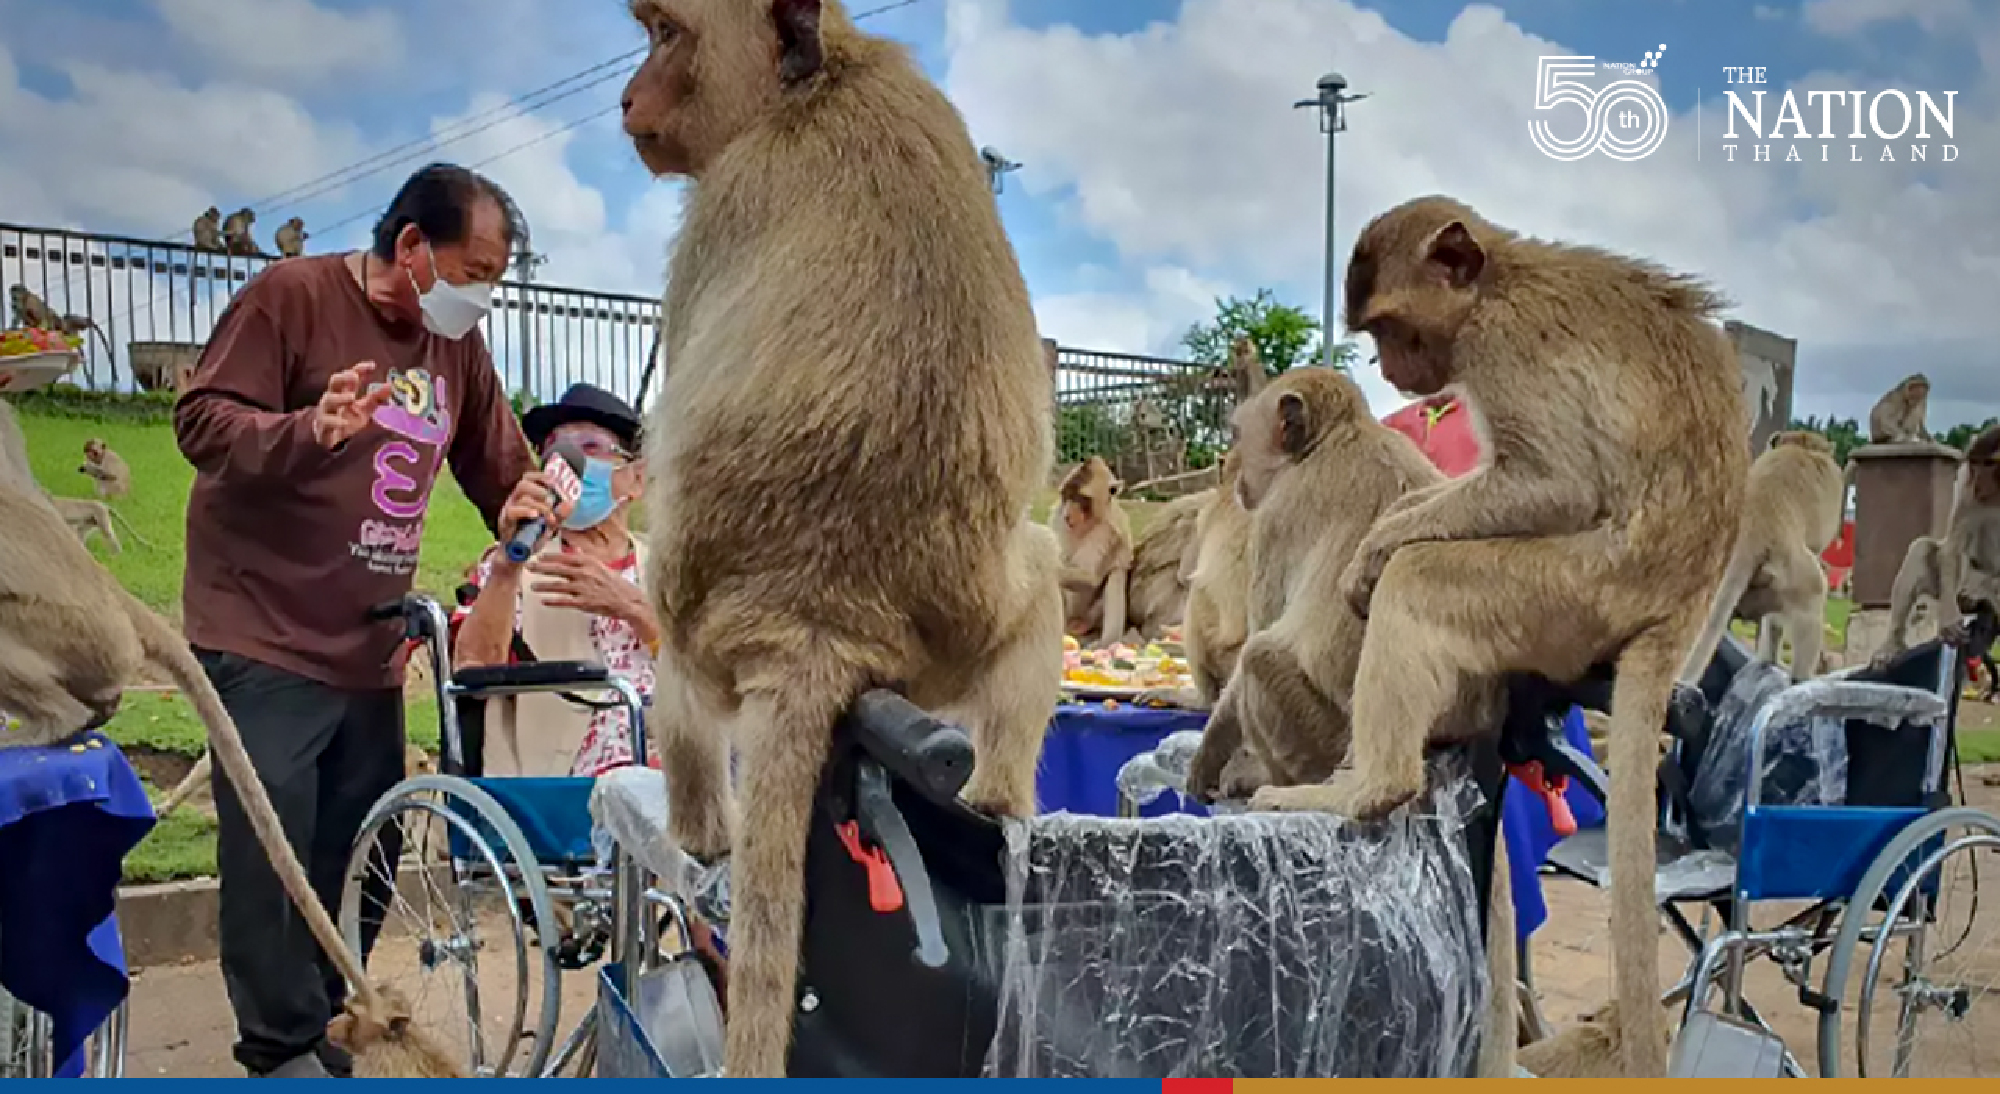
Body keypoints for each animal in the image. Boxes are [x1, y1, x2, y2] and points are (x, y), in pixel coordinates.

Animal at [621, 0, 1065, 1076]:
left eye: (664, 36)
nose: (627, 96)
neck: (825, 84)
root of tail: (817, 617)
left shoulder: (724, 201)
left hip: (714, 627)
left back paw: (703, 828)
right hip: (952, 644)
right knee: (1039, 583)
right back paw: (999, 806)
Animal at [1050, 455, 1134, 647]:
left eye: (1081, 497)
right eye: (1066, 495)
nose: (1068, 515)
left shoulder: (1106, 531)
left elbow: (1090, 578)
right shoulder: (1058, 517)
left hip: (1092, 615)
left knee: (1116, 576)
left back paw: (1106, 642)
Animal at [1298, 196, 1748, 1078]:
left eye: (1390, 328)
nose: (1392, 373)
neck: (1497, 280)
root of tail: (1677, 606)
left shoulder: (1501, 347)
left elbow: (1555, 484)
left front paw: (1380, 544)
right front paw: (1393, 523)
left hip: (1573, 597)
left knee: (1424, 581)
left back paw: (1368, 786)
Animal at [1873, 424, 2000, 667]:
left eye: (1989, 464)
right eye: (1975, 464)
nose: (1977, 483)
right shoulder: (1965, 485)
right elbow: (1952, 548)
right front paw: (1949, 619)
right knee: (1922, 548)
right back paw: (1892, 644)